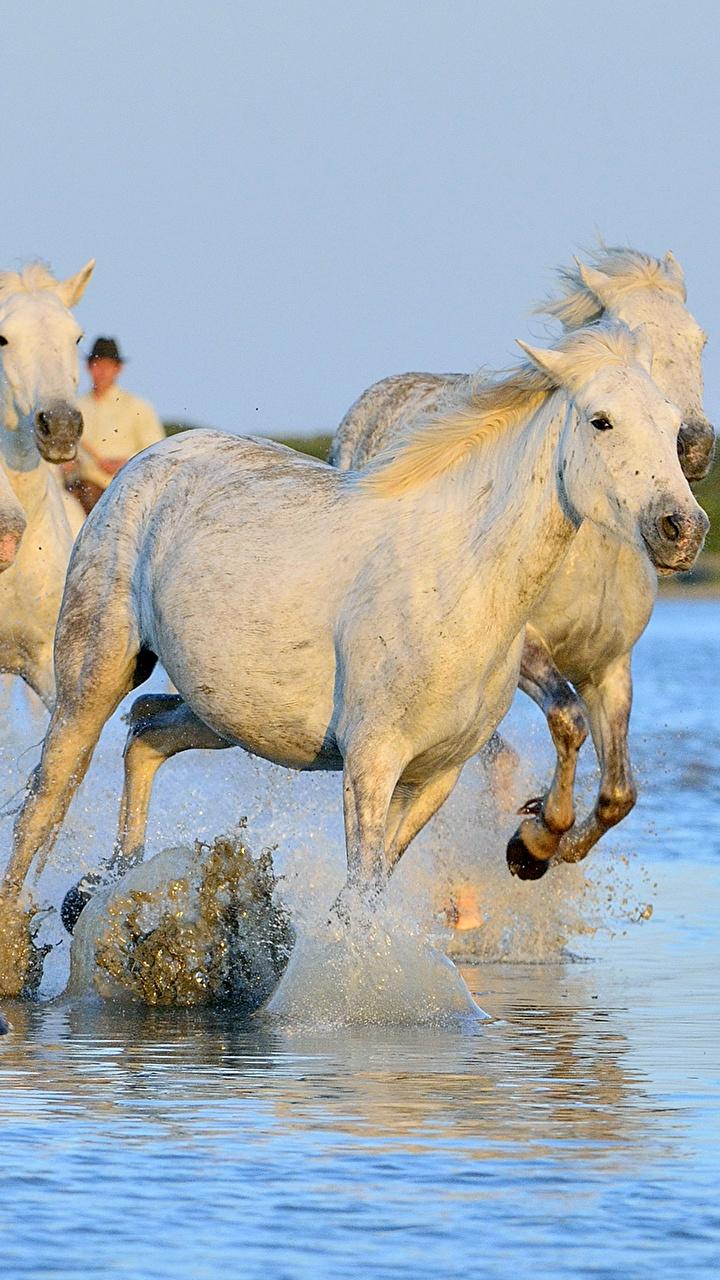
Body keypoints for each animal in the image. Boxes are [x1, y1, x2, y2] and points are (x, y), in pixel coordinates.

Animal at [0, 317, 702, 988]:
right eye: (601, 420)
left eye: (672, 427)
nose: (684, 530)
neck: (461, 578)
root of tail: (149, 459)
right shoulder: (371, 761)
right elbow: (365, 886)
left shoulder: (436, 774)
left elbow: (367, 892)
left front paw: (528, 844)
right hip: (93, 676)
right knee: (46, 800)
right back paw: (20, 950)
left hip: (224, 713)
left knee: (145, 737)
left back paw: (100, 890)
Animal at [327, 244, 707, 875]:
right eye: (627, 333)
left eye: (699, 338)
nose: (694, 447)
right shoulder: (525, 649)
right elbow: (567, 720)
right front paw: (533, 841)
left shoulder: (611, 666)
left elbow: (619, 790)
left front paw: (557, 846)